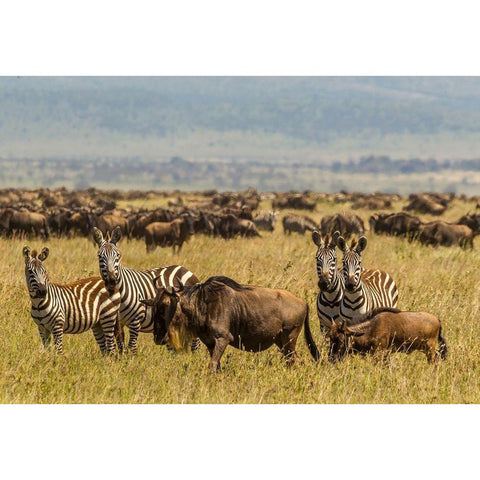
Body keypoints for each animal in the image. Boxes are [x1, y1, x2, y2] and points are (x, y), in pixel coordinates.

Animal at [142, 276, 308, 374]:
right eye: (154, 307)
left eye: (164, 306)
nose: (158, 338)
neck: (202, 305)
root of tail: (303, 302)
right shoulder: (210, 342)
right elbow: (217, 366)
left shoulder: (224, 338)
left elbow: (212, 364)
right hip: (280, 341)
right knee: (291, 359)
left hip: (289, 338)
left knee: (293, 359)